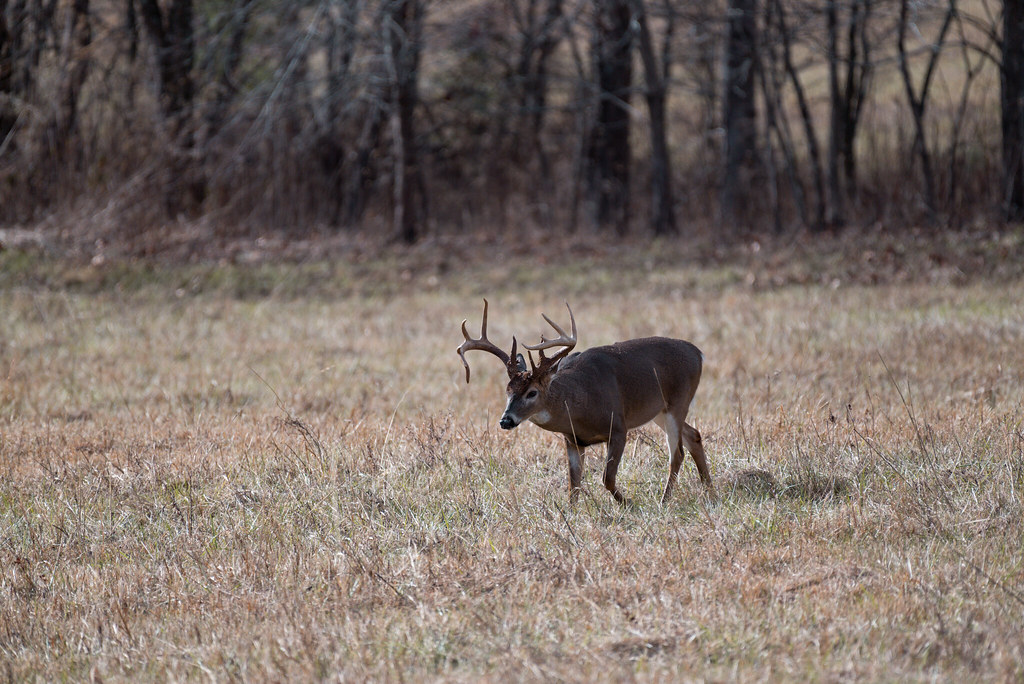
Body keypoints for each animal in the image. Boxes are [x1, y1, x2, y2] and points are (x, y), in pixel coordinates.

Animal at [457, 299, 711, 505]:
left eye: (532, 393)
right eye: (508, 390)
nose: (506, 420)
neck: (580, 405)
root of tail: (698, 353)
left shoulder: (618, 427)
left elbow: (607, 478)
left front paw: (627, 503)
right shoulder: (573, 440)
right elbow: (574, 485)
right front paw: (570, 515)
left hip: (678, 402)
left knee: (677, 453)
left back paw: (664, 500)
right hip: (660, 410)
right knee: (694, 435)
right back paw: (709, 488)